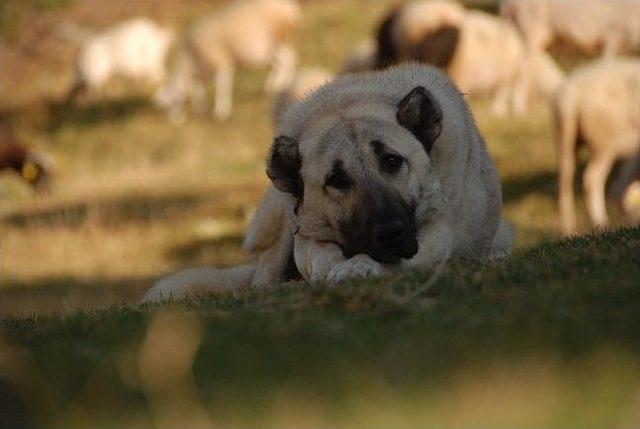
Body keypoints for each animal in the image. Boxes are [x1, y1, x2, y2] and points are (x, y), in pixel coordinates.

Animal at [142, 63, 512, 302]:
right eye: (336, 179)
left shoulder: (436, 232)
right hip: (277, 221)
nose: (389, 232)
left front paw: (362, 266)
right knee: (264, 275)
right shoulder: (306, 236)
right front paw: (347, 268)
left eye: (392, 162)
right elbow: (323, 259)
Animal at [157, 0, 302, 122]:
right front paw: (201, 109)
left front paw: (221, 112)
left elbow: (223, 87)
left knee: (287, 60)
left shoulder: (221, 62)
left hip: (278, 39)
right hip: (273, 46)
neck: (189, 58)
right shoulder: (200, 70)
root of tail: (291, 8)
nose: (176, 121)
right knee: (282, 62)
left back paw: (279, 85)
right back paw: (271, 86)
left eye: (174, 101)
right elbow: (197, 88)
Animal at [556, 57, 640, 234]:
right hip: (603, 143)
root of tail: (571, 97)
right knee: (592, 179)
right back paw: (600, 221)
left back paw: (568, 228)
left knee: (565, 176)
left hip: (565, 138)